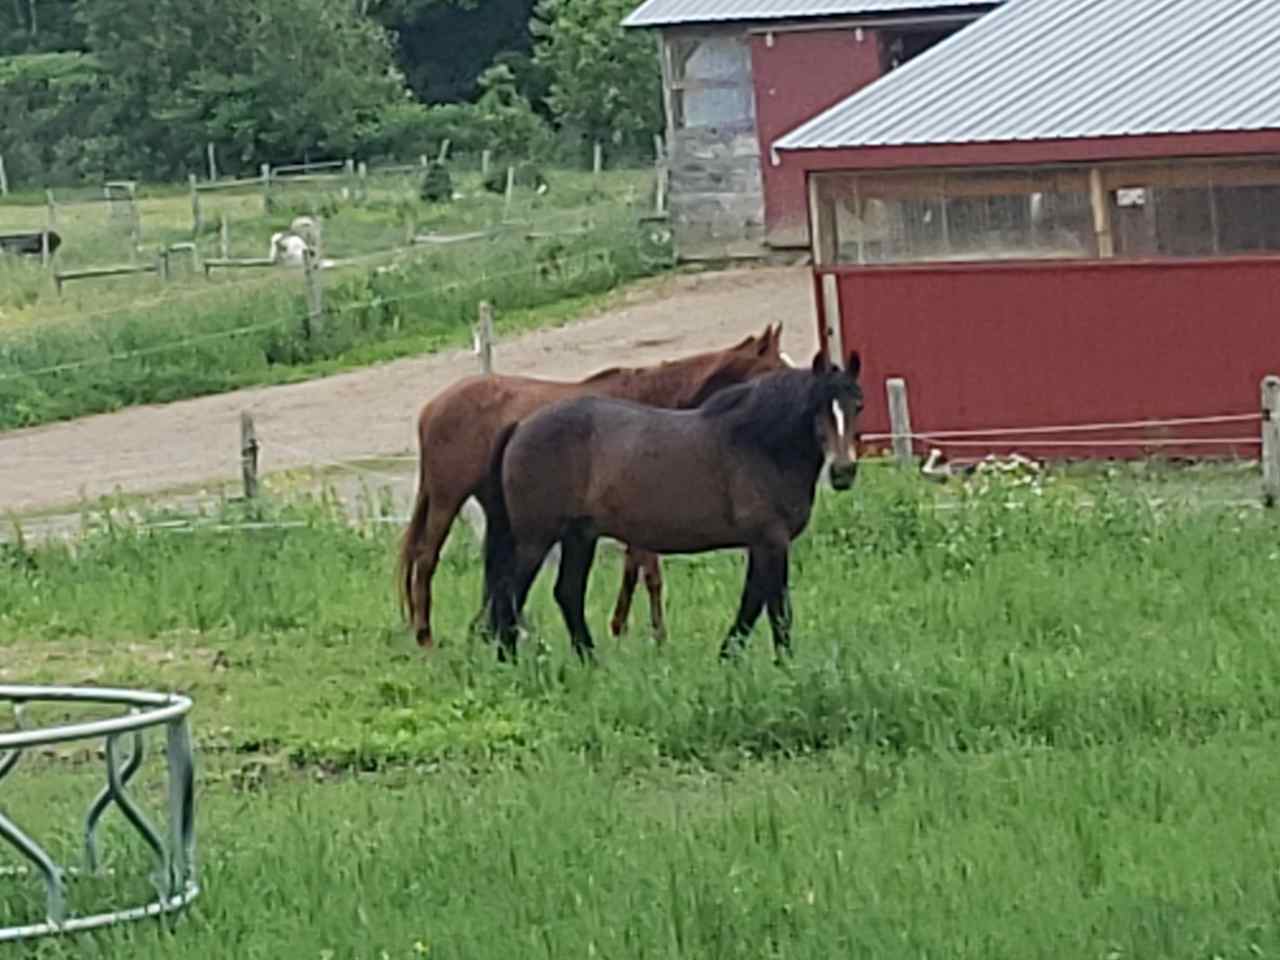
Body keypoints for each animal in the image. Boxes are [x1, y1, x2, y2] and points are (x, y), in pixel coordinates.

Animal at [394, 327, 788, 650]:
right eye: (775, 368)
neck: (655, 402)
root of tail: (431, 408)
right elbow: (649, 573)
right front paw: (654, 634)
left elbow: (635, 569)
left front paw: (622, 627)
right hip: (448, 499)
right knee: (427, 559)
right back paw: (426, 635)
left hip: (493, 509)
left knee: (493, 569)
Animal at [483, 350, 865, 665]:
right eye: (817, 407)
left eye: (857, 405)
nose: (843, 471)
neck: (760, 445)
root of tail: (520, 427)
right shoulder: (770, 542)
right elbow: (777, 610)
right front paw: (784, 665)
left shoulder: (762, 545)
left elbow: (752, 604)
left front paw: (728, 657)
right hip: (536, 540)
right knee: (509, 596)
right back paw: (510, 663)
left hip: (579, 537)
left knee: (567, 593)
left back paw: (590, 662)